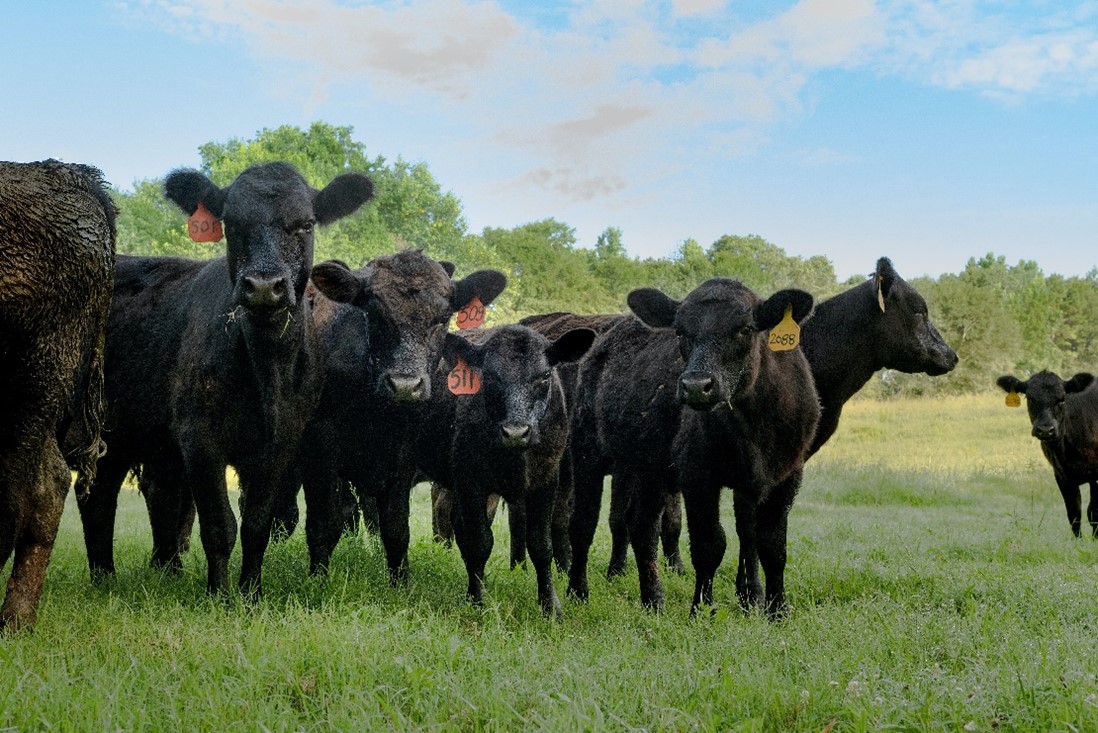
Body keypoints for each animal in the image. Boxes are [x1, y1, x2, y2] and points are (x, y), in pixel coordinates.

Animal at [76, 159, 377, 596]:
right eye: (231, 223)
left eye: (305, 224)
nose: (265, 287)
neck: (266, 370)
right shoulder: (199, 437)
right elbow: (219, 526)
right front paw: (218, 594)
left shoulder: (281, 442)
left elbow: (256, 525)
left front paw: (251, 593)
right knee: (97, 496)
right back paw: (104, 578)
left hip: (124, 435)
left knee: (106, 493)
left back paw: (119, 575)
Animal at [412, 326, 601, 618]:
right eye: (489, 376)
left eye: (545, 375)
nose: (516, 432)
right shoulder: (470, 481)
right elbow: (479, 541)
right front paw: (477, 601)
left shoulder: (546, 480)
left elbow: (540, 545)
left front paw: (550, 606)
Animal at [570, 280, 821, 614]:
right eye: (679, 331)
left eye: (745, 328)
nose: (696, 386)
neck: (754, 426)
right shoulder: (698, 476)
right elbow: (709, 545)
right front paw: (701, 610)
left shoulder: (787, 475)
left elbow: (772, 546)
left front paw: (778, 610)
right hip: (586, 452)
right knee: (583, 524)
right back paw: (577, 593)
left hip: (648, 467)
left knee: (641, 525)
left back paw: (654, 602)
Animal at [996, 373, 1098, 537]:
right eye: (1029, 398)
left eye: (1062, 399)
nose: (1045, 430)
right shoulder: (1061, 475)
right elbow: (1074, 513)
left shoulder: (1095, 475)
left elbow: (1094, 512)